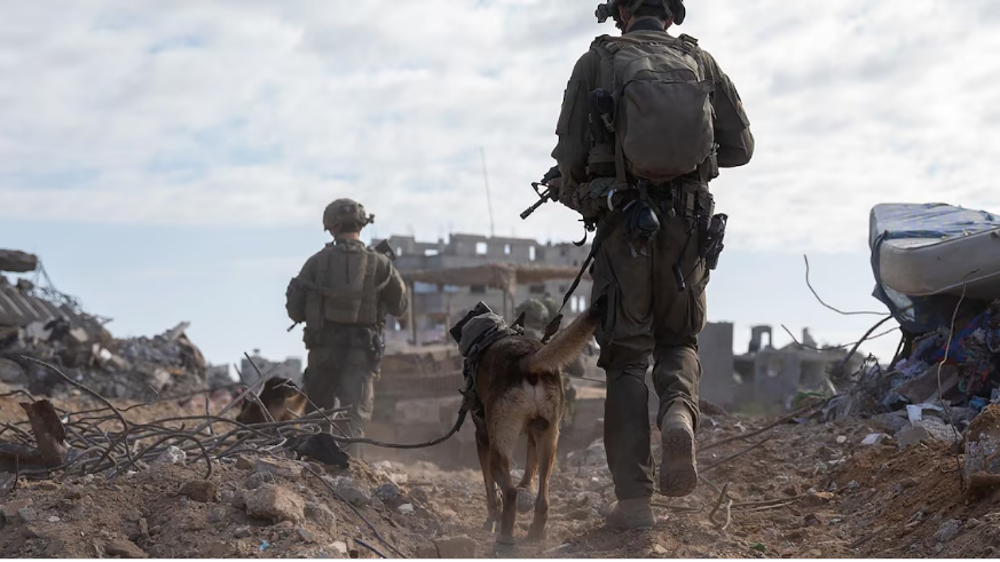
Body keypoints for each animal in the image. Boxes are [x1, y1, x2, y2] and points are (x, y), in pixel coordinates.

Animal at [468, 300, 600, 548]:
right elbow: (531, 465)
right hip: (550, 439)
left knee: (508, 492)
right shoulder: (534, 432)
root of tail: (527, 358)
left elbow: (490, 488)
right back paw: (537, 528)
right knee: (544, 495)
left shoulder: (482, 436)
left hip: (499, 448)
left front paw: (492, 518)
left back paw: (505, 538)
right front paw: (526, 488)